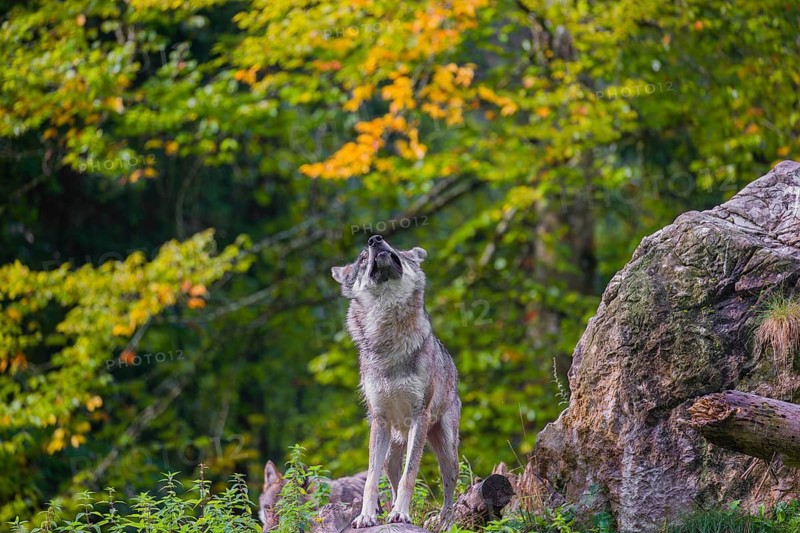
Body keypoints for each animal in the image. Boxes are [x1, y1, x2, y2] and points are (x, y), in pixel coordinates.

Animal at [332, 234, 461, 528]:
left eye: (395, 249)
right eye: (362, 258)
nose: (375, 239)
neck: (389, 342)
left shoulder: (419, 417)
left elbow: (409, 475)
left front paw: (401, 514)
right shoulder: (379, 419)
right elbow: (370, 479)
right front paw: (367, 516)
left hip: (446, 448)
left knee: (451, 486)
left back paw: (445, 522)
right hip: (392, 446)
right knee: (390, 474)